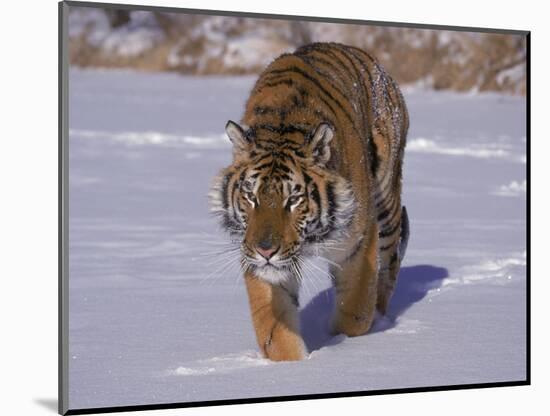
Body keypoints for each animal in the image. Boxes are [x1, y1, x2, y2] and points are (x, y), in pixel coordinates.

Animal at [210, 43, 410, 360]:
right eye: (251, 196)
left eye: (293, 199)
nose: (265, 250)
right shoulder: (257, 258)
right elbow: (275, 331)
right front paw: (295, 364)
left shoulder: (358, 243)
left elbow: (355, 312)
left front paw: (344, 341)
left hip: (387, 203)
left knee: (389, 265)